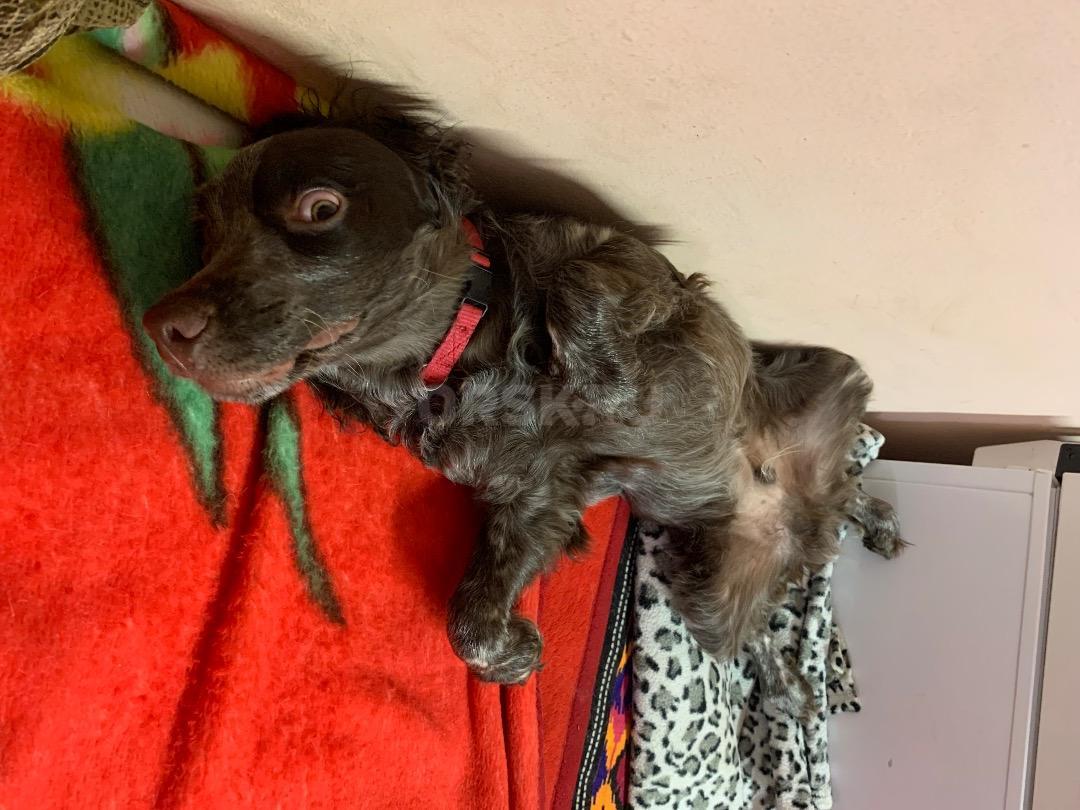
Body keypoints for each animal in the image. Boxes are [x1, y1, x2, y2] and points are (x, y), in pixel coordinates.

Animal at [142, 116, 902, 689]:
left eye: (320, 208)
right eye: (206, 228)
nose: (162, 325)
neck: (455, 361)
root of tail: (806, 513)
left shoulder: (639, 270)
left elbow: (573, 286)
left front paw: (602, 387)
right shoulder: (535, 501)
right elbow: (470, 625)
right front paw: (513, 654)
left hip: (831, 367)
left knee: (852, 478)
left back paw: (873, 523)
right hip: (709, 601)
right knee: (775, 605)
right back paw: (800, 669)